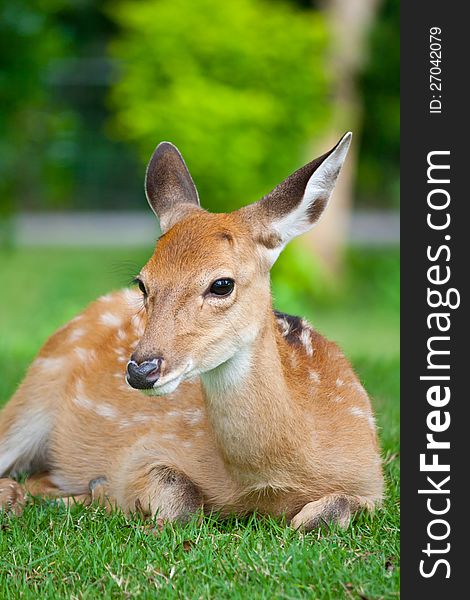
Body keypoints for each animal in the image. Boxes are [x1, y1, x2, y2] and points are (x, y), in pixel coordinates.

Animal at [0, 134, 384, 528]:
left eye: (222, 284)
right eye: (142, 282)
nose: (141, 370)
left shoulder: (373, 481)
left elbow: (329, 514)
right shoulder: (140, 452)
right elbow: (180, 499)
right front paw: (105, 492)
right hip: (30, 397)